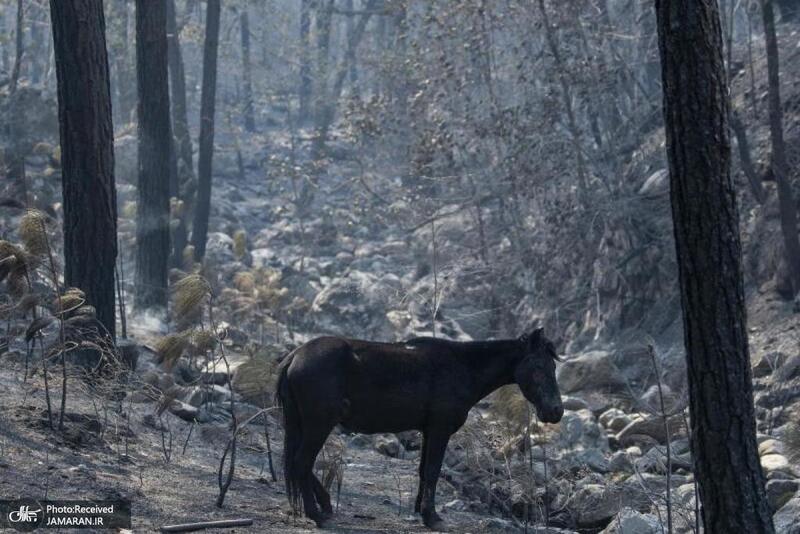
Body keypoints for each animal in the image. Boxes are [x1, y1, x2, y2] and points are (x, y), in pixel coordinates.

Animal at [278, 328, 564, 528]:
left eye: (553, 366)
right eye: (539, 366)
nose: (556, 411)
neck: (461, 366)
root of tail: (295, 356)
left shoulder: (428, 431)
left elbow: (424, 471)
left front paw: (422, 510)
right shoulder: (439, 429)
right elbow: (433, 471)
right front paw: (432, 516)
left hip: (303, 424)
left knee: (297, 463)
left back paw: (324, 504)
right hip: (318, 425)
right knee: (301, 463)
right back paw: (317, 514)